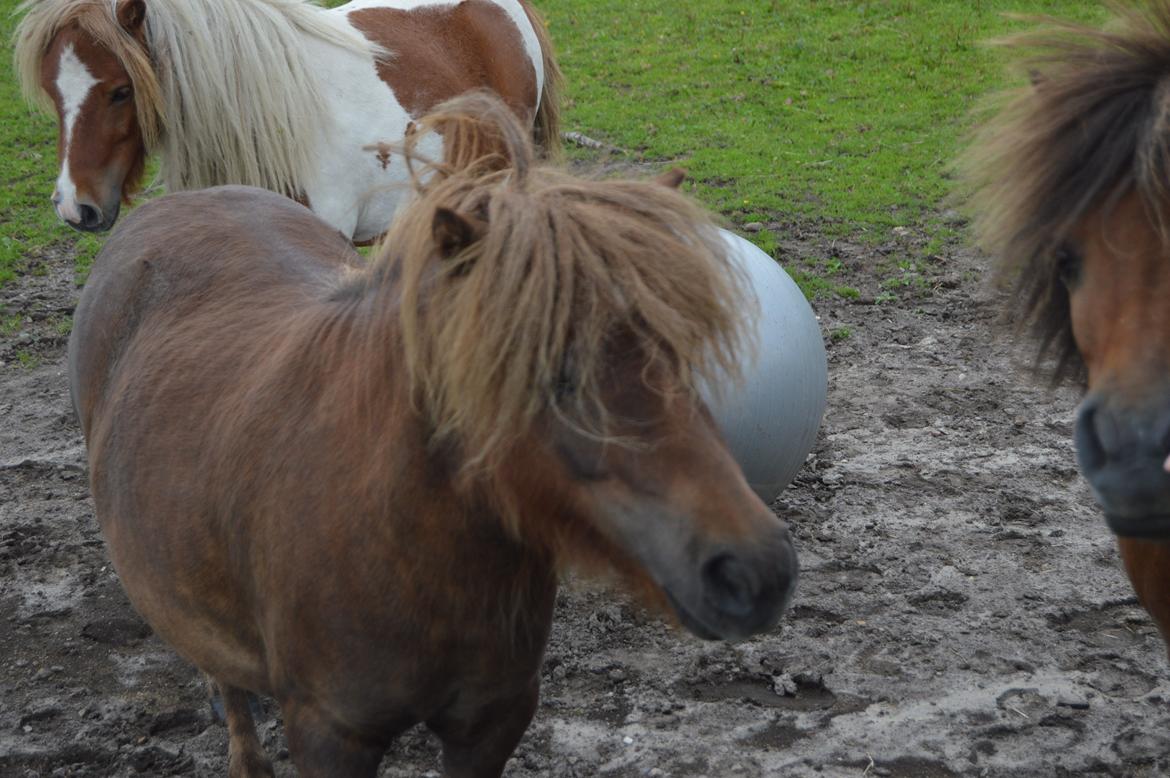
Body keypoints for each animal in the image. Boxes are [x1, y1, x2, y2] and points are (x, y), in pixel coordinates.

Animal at [68, 94, 800, 772]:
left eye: (681, 356)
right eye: (552, 374)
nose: (757, 571)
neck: (403, 538)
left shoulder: (492, 723)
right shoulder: (330, 733)